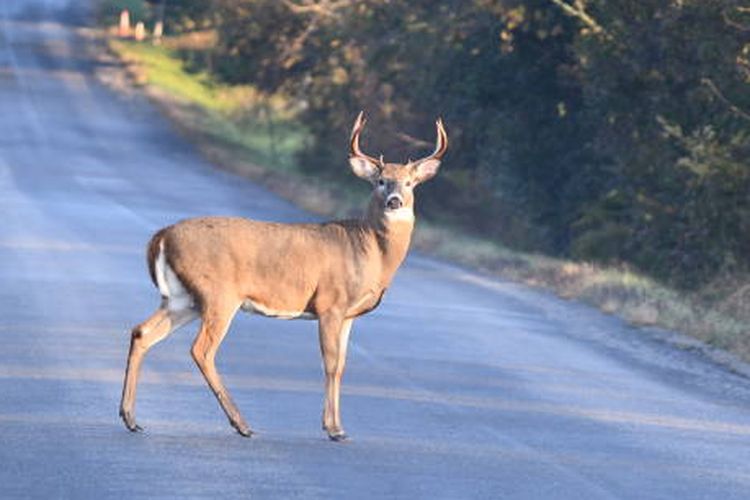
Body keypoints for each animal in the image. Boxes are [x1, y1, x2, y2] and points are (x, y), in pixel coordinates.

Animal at [117, 111, 446, 440]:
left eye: (410, 183)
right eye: (380, 181)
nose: (395, 200)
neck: (370, 250)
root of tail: (162, 235)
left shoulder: (349, 314)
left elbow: (341, 366)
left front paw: (337, 425)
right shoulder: (330, 303)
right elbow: (330, 363)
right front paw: (333, 429)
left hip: (182, 299)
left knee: (142, 332)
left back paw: (131, 418)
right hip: (219, 295)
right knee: (202, 350)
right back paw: (241, 424)